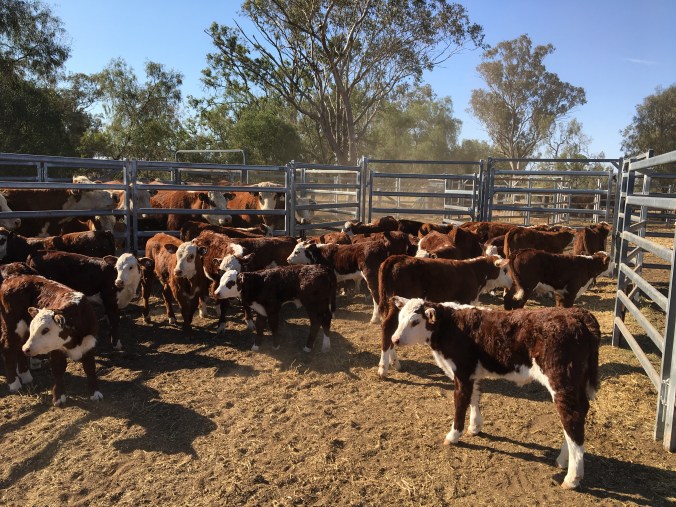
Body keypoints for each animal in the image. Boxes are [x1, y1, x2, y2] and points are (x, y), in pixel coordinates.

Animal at [0, 274, 103, 406]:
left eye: (45, 330)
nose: (27, 349)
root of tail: (13, 277)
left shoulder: (89, 343)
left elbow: (89, 368)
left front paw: (95, 393)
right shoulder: (56, 349)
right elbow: (58, 369)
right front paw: (58, 397)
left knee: (19, 348)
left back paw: (26, 376)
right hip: (11, 327)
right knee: (9, 349)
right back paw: (14, 384)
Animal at [377, 254, 512, 378]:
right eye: (505, 270)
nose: (511, 283)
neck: (473, 271)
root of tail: (397, 258)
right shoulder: (467, 300)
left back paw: (394, 362)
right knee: (388, 328)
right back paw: (383, 368)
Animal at [389, 296, 600, 490]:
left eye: (415, 321)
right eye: (399, 318)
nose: (394, 339)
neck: (450, 326)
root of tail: (577, 314)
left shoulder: (462, 372)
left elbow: (460, 403)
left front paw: (453, 435)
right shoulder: (473, 373)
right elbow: (474, 397)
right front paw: (474, 427)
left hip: (561, 381)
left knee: (572, 418)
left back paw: (572, 478)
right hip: (577, 384)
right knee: (578, 415)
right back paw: (563, 460)